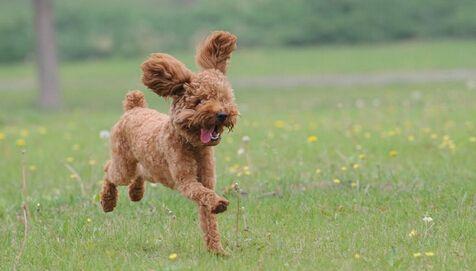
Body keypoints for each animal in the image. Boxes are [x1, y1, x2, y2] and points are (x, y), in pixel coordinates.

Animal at [101, 31, 240, 255]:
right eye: (200, 101)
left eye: (224, 98)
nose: (222, 114)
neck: (192, 145)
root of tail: (134, 108)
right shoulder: (186, 180)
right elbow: (203, 195)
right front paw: (219, 203)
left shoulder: (207, 180)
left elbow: (208, 219)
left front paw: (217, 251)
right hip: (123, 164)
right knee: (109, 171)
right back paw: (107, 201)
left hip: (152, 168)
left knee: (139, 173)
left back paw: (136, 193)